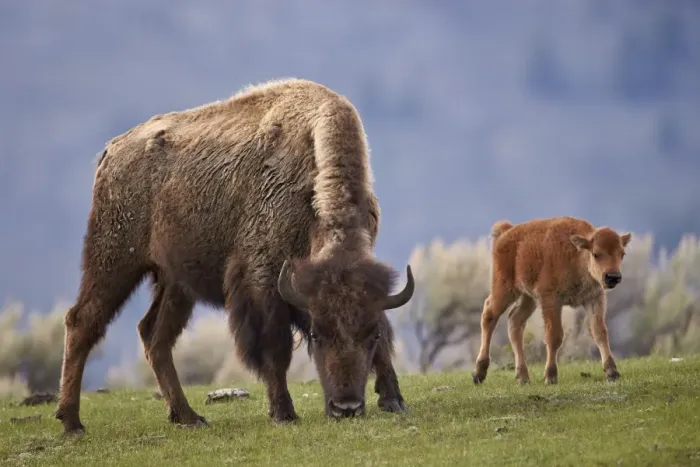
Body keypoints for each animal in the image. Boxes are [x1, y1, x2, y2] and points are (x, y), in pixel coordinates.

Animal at [55, 78, 415, 435]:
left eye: (371, 334)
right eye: (316, 334)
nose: (346, 407)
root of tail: (112, 150)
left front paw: (394, 400)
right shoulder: (262, 281)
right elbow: (275, 347)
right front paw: (283, 413)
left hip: (175, 283)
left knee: (154, 336)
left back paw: (188, 417)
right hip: (114, 259)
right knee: (82, 321)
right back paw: (72, 421)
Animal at [471, 216, 631, 386]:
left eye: (622, 254)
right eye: (596, 254)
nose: (613, 277)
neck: (576, 255)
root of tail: (505, 232)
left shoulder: (594, 298)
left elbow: (599, 332)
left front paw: (612, 372)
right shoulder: (551, 300)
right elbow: (554, 335)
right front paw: (550, 376)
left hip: (529, 297)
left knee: (515, 321)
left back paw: (523, 377)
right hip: (504, 289)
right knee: (489, 314)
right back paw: (479, 373)